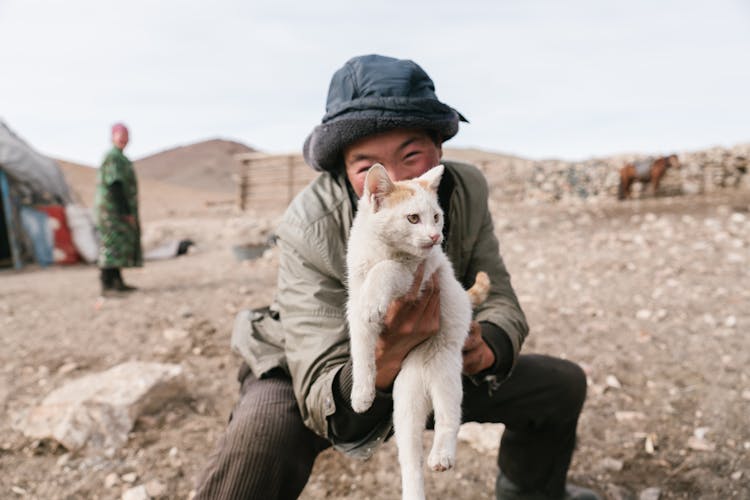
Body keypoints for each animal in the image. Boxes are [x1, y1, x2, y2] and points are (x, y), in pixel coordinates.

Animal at [346, 164, 488, 500]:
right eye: (412, 218)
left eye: (436, 216)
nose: (436, 236)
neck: (381, 249)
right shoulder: (354, 312)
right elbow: (362, 355)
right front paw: (362, 395)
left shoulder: (414, 275)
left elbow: (387, 270)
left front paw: (375, 294)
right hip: (405, 404)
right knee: (411, 459)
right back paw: (414, 489)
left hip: (446, 372)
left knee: (450, 419)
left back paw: (442, 456)